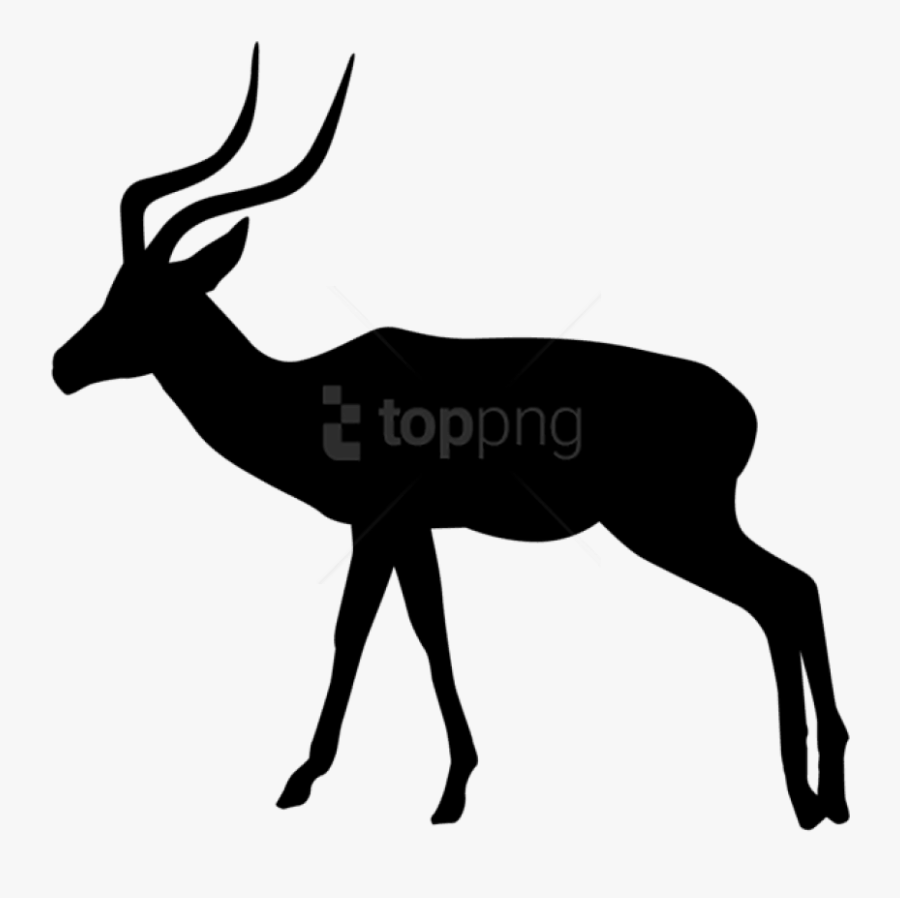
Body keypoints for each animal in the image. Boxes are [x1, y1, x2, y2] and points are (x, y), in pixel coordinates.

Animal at [52, 45, 848, 827]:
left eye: (147, 301)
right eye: (113, 288)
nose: (62, 365)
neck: (304, 395)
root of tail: (743, 409)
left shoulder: (380, 522)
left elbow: (358, 631)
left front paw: (313, 779)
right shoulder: (409, 528)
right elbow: (426, 629)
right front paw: (450, 782)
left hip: (670, 524)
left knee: (784, 591)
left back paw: (809, 796)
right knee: (793, 590)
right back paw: (826, 798)